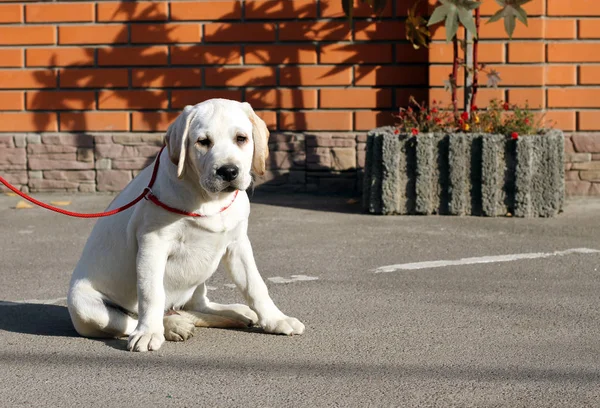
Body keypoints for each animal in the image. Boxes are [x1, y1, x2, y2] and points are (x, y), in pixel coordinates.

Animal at [67, 98, 304, 350]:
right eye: (203, 142)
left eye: (241, 138)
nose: (228, 171)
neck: (208, 199)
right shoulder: (153, 244)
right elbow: (151, 293)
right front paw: (148, 333)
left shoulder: (238, 244)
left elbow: (255, 285)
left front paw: (276, 319)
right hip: (85, 306)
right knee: (132, 319)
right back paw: (171, 326)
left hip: (198, 283)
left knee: (197, 305)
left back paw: (234, 312)